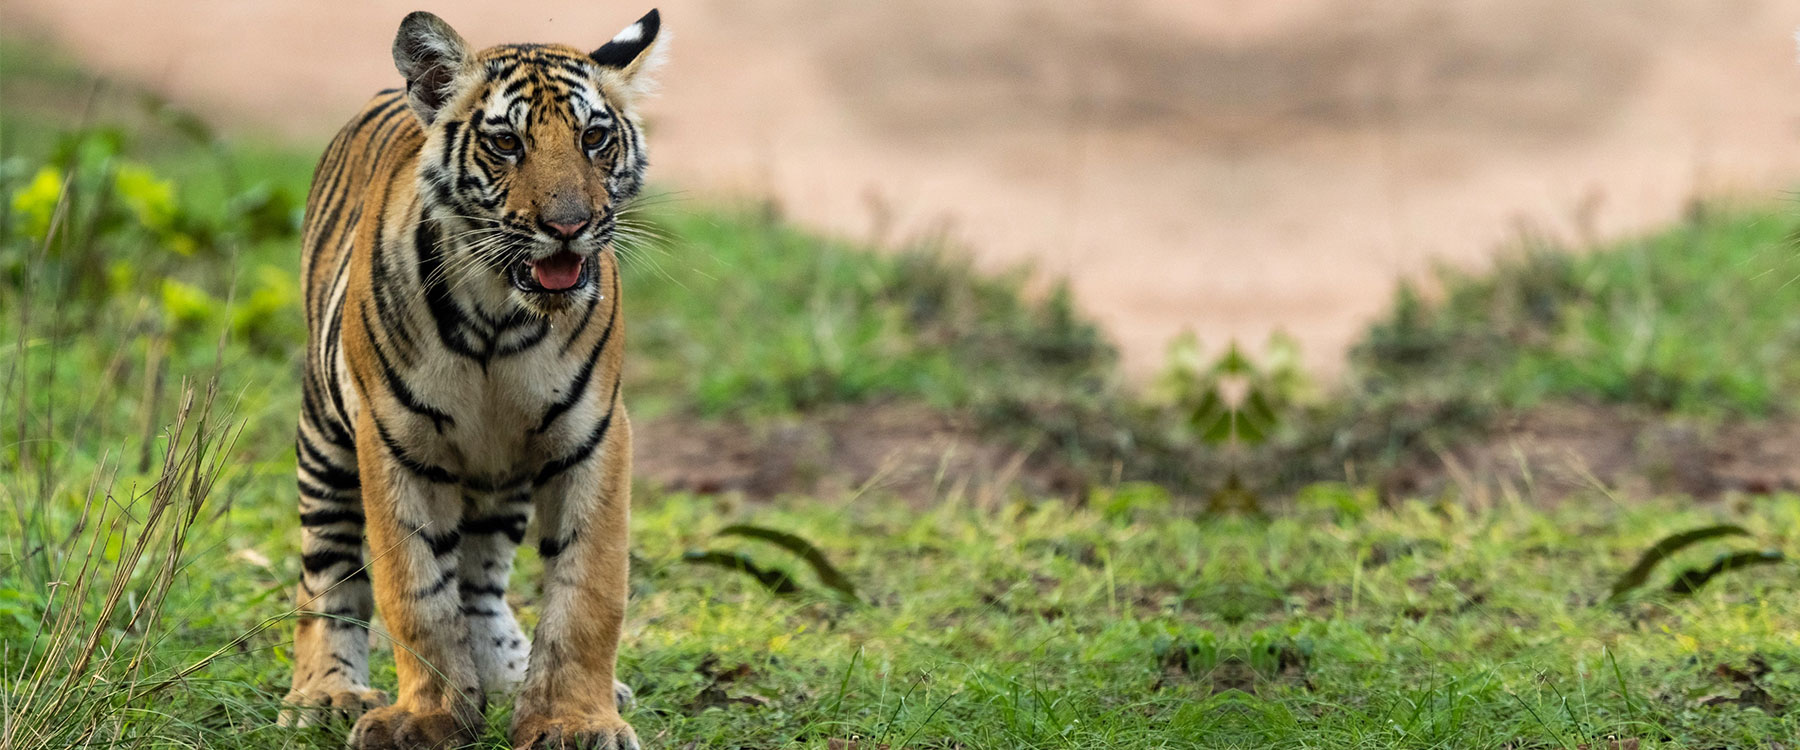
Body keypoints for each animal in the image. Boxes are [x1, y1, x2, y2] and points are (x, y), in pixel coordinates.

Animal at [277, 10, 673, 748]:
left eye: (594, 138)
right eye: (507, 143)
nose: (569, 227)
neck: (500, 315)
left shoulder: (593, 435)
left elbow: (587, 592)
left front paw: (575, 720)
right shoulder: (394, 441)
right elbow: (414, 592)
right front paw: (428, 716)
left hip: (502, 473)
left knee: (481, 581)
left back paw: (512, 675)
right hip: (324, 440)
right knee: (328, 574)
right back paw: (325, 694)